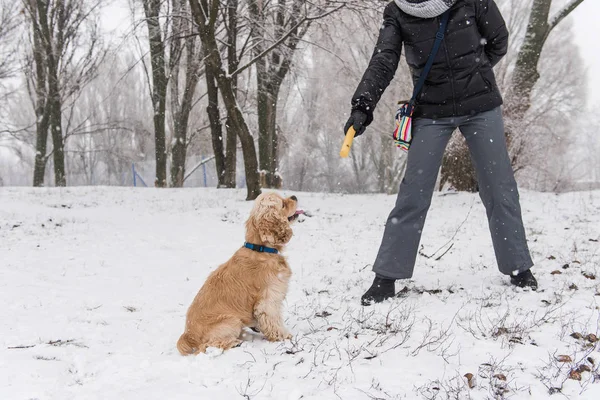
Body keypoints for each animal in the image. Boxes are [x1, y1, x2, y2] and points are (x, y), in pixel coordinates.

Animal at [177, 192, 300, 354]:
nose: (294, 196)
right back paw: (235, 343)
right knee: (206, 346)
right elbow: (274, 320)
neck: (260, 249)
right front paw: (283, 336)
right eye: (283, 204)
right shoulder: (268, 299)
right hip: (232, 321)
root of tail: (188, 335)